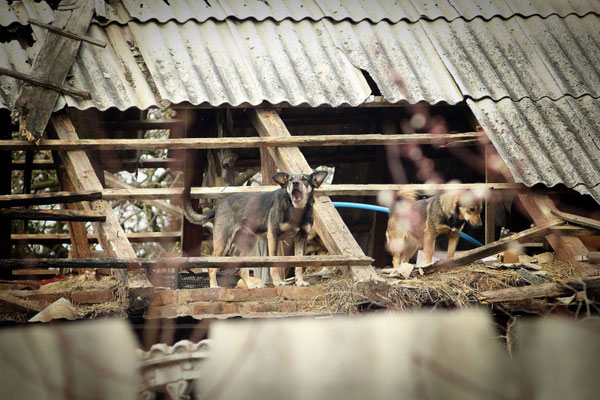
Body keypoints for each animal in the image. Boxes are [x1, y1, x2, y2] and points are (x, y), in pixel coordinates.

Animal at [182, 170, 328, 290]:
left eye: (304, 179)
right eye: (290, 180)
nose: (295, 183)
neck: (296, 210)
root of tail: (218, 205)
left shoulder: (301, 237)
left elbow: (299, 264)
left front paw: (300, 282)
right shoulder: (273, 236)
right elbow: (275, 264)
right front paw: (278, 282)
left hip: (250, 245)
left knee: (242, 270)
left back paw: (251, 286)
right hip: (223, 243)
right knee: (211, 267)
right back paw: (213, 286)